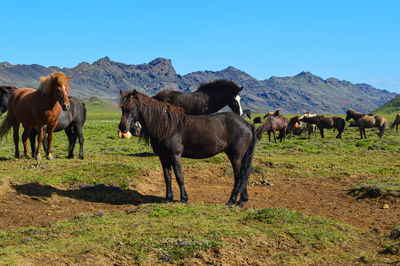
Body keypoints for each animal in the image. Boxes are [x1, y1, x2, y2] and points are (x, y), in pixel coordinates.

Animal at [119, 89, 256, 206]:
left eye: (131, 107)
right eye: (121, 108)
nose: (122, 128)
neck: (166, 126)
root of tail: (247, 125)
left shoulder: (175, 155)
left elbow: (179, 176)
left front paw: (183, 199)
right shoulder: (163, 156)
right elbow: (167, 177)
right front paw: (168, 198)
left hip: (236, 156)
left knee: (239, 176)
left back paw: (232, 200)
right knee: (244, 175)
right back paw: (242, 200)